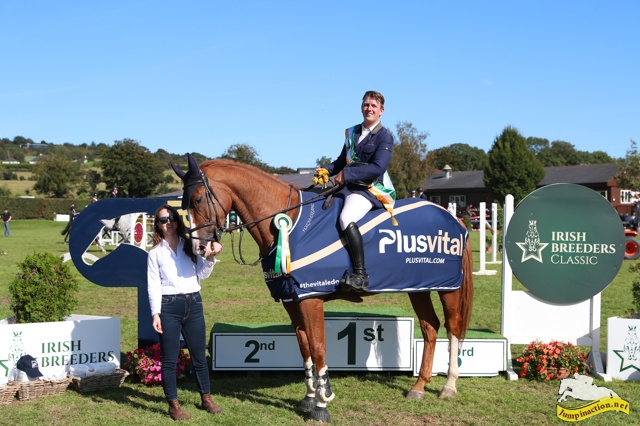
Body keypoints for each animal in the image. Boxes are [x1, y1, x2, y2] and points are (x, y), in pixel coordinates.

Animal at [172, 155, 472, 422]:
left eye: (197, 199)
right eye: (183, 204)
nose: (200, 248)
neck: (288, 223)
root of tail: (452, 218)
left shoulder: (310, 298)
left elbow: (317, 348)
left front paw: (322, 402)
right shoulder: (292, 300)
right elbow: (303, 346)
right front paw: (309, 396)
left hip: (448, 288)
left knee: (453, 327)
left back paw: (449, 386)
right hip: (419, 288)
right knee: (430, 327)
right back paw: (419, 387)